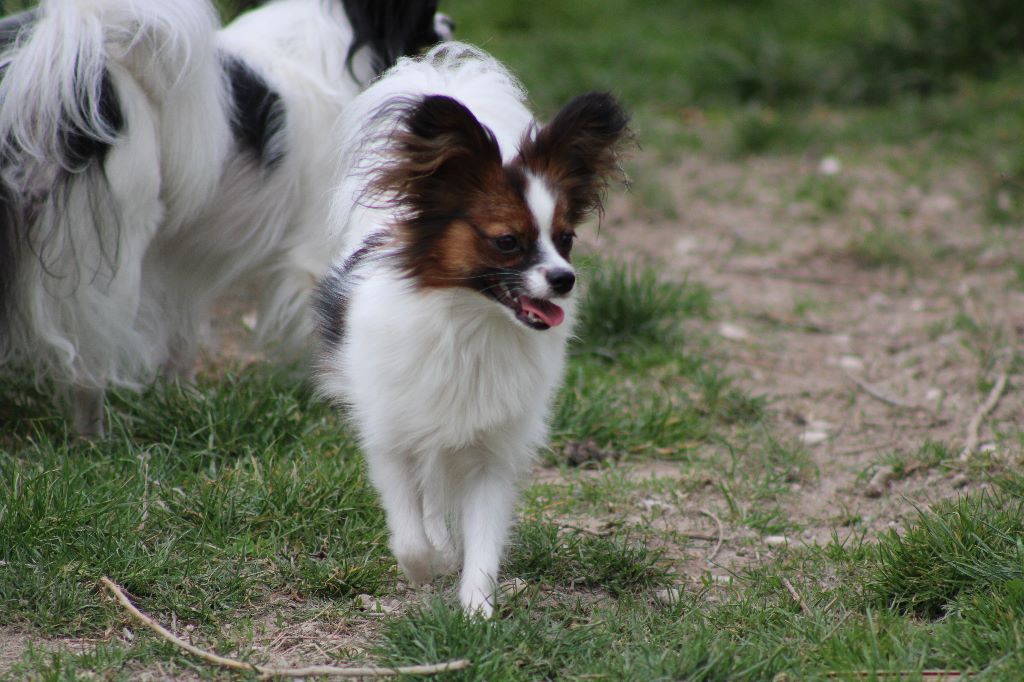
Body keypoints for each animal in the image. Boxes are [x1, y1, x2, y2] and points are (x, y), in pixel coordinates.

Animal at [0, 0, 450, 436]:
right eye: (426, 12)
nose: (451, 22)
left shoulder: (178, 261)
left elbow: (179, 338)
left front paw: (179, 398)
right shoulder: (317, 251)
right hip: (107, 252)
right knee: (87, 361)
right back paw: (93, 439)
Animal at [315, 43, 626, 614]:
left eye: (566, 239)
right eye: (507, 242)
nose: (565, 279)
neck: (471, 324)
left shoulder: (491, 452)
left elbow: (483, 540)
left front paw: (476, 614)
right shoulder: (391, 438)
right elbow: (409, 533)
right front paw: (428, 564)